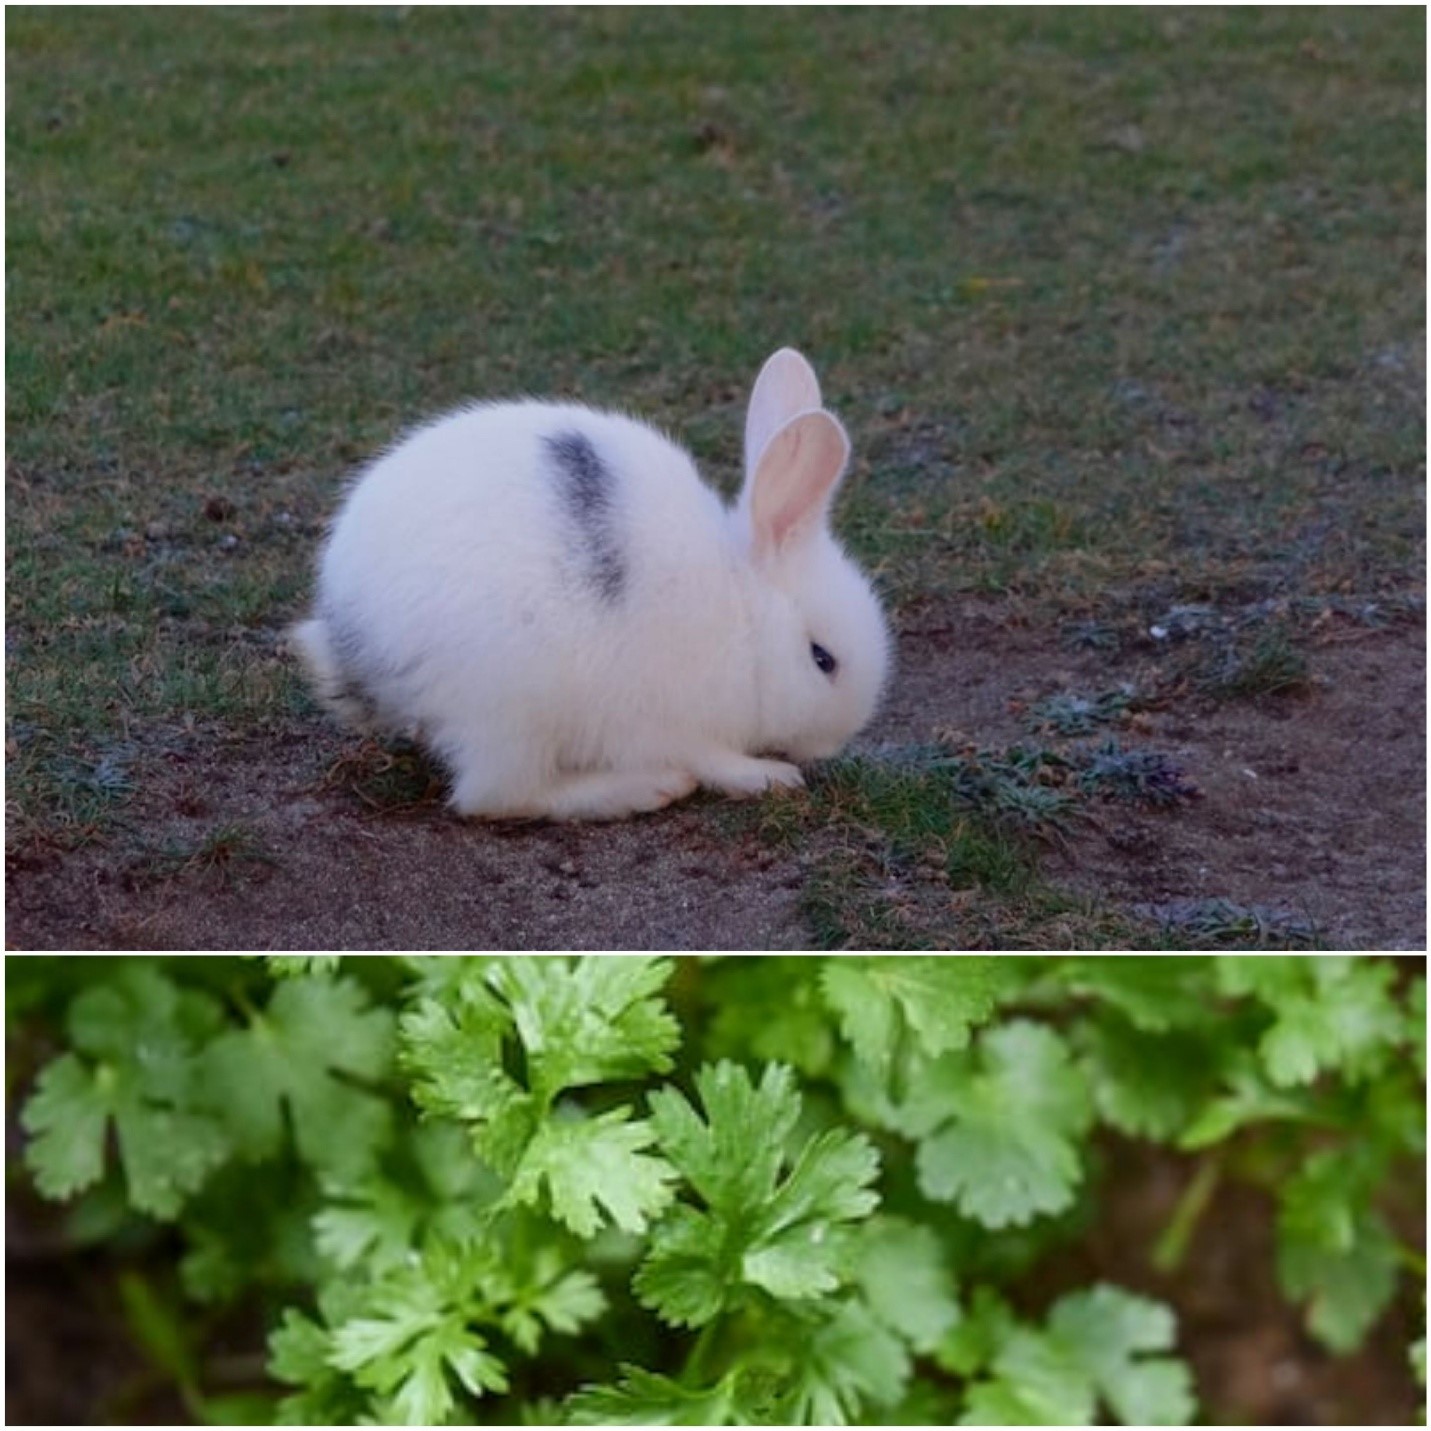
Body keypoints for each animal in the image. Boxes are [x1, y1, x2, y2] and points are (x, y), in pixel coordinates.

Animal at [290, 347, 891, 820]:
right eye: (822, 659)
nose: (831, 746)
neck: (743, 612)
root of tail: (350, 640)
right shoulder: (673, 720)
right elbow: (715, 760)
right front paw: (770, 777)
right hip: (509, 710)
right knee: (497, 797)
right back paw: (643, 788)